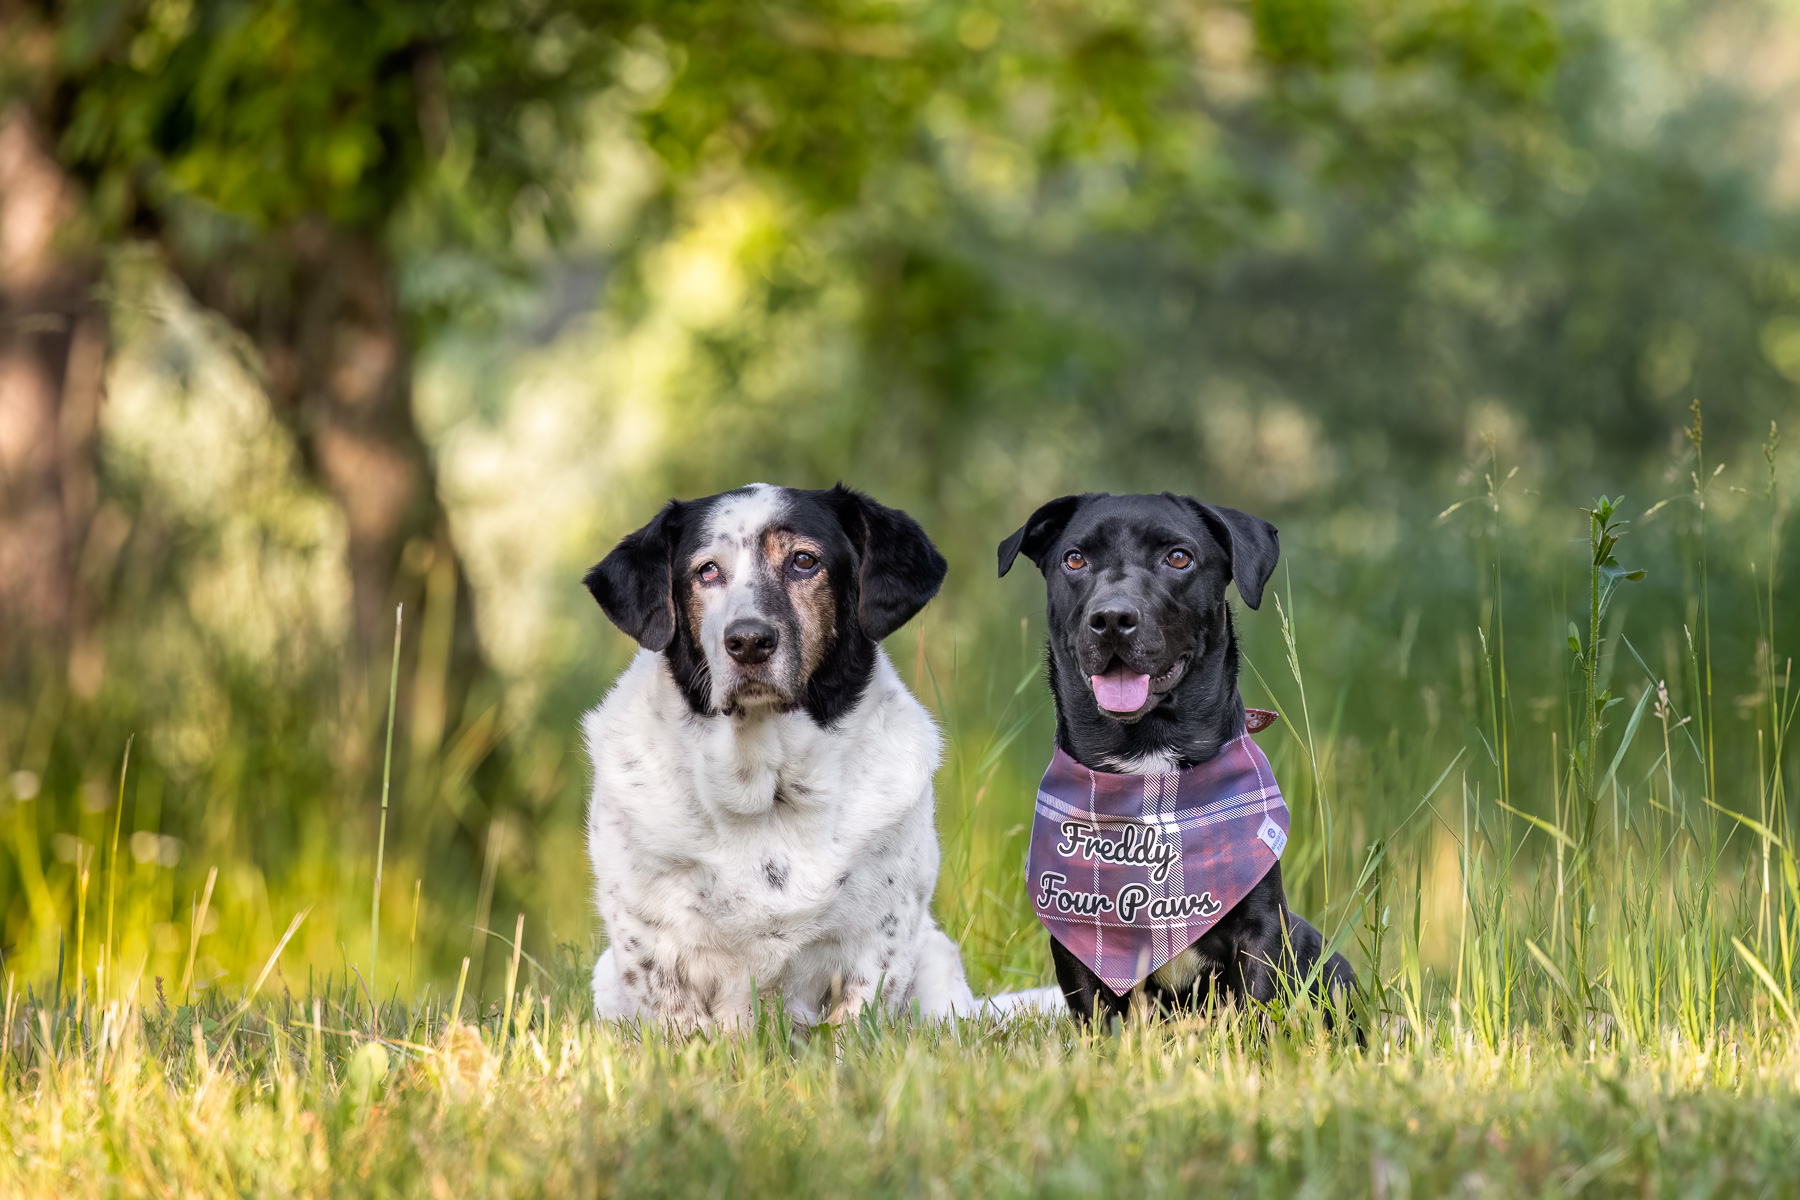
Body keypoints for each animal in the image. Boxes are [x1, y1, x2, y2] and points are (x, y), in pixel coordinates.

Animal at [579, 482, 972, 1029]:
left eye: (804, 561)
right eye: (707, 570)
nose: (748, 640)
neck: (767, 787)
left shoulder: (883, 937)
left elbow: (854, 1022)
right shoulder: (648, 941)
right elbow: (681, 1022)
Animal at [1000, 492, 1353, 1029]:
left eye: (1179, 557)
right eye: (1074, 559)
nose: (1111, 618)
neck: (1149, 770)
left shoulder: (1262, 929)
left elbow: (1254, 1016)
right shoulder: (1077, 948)